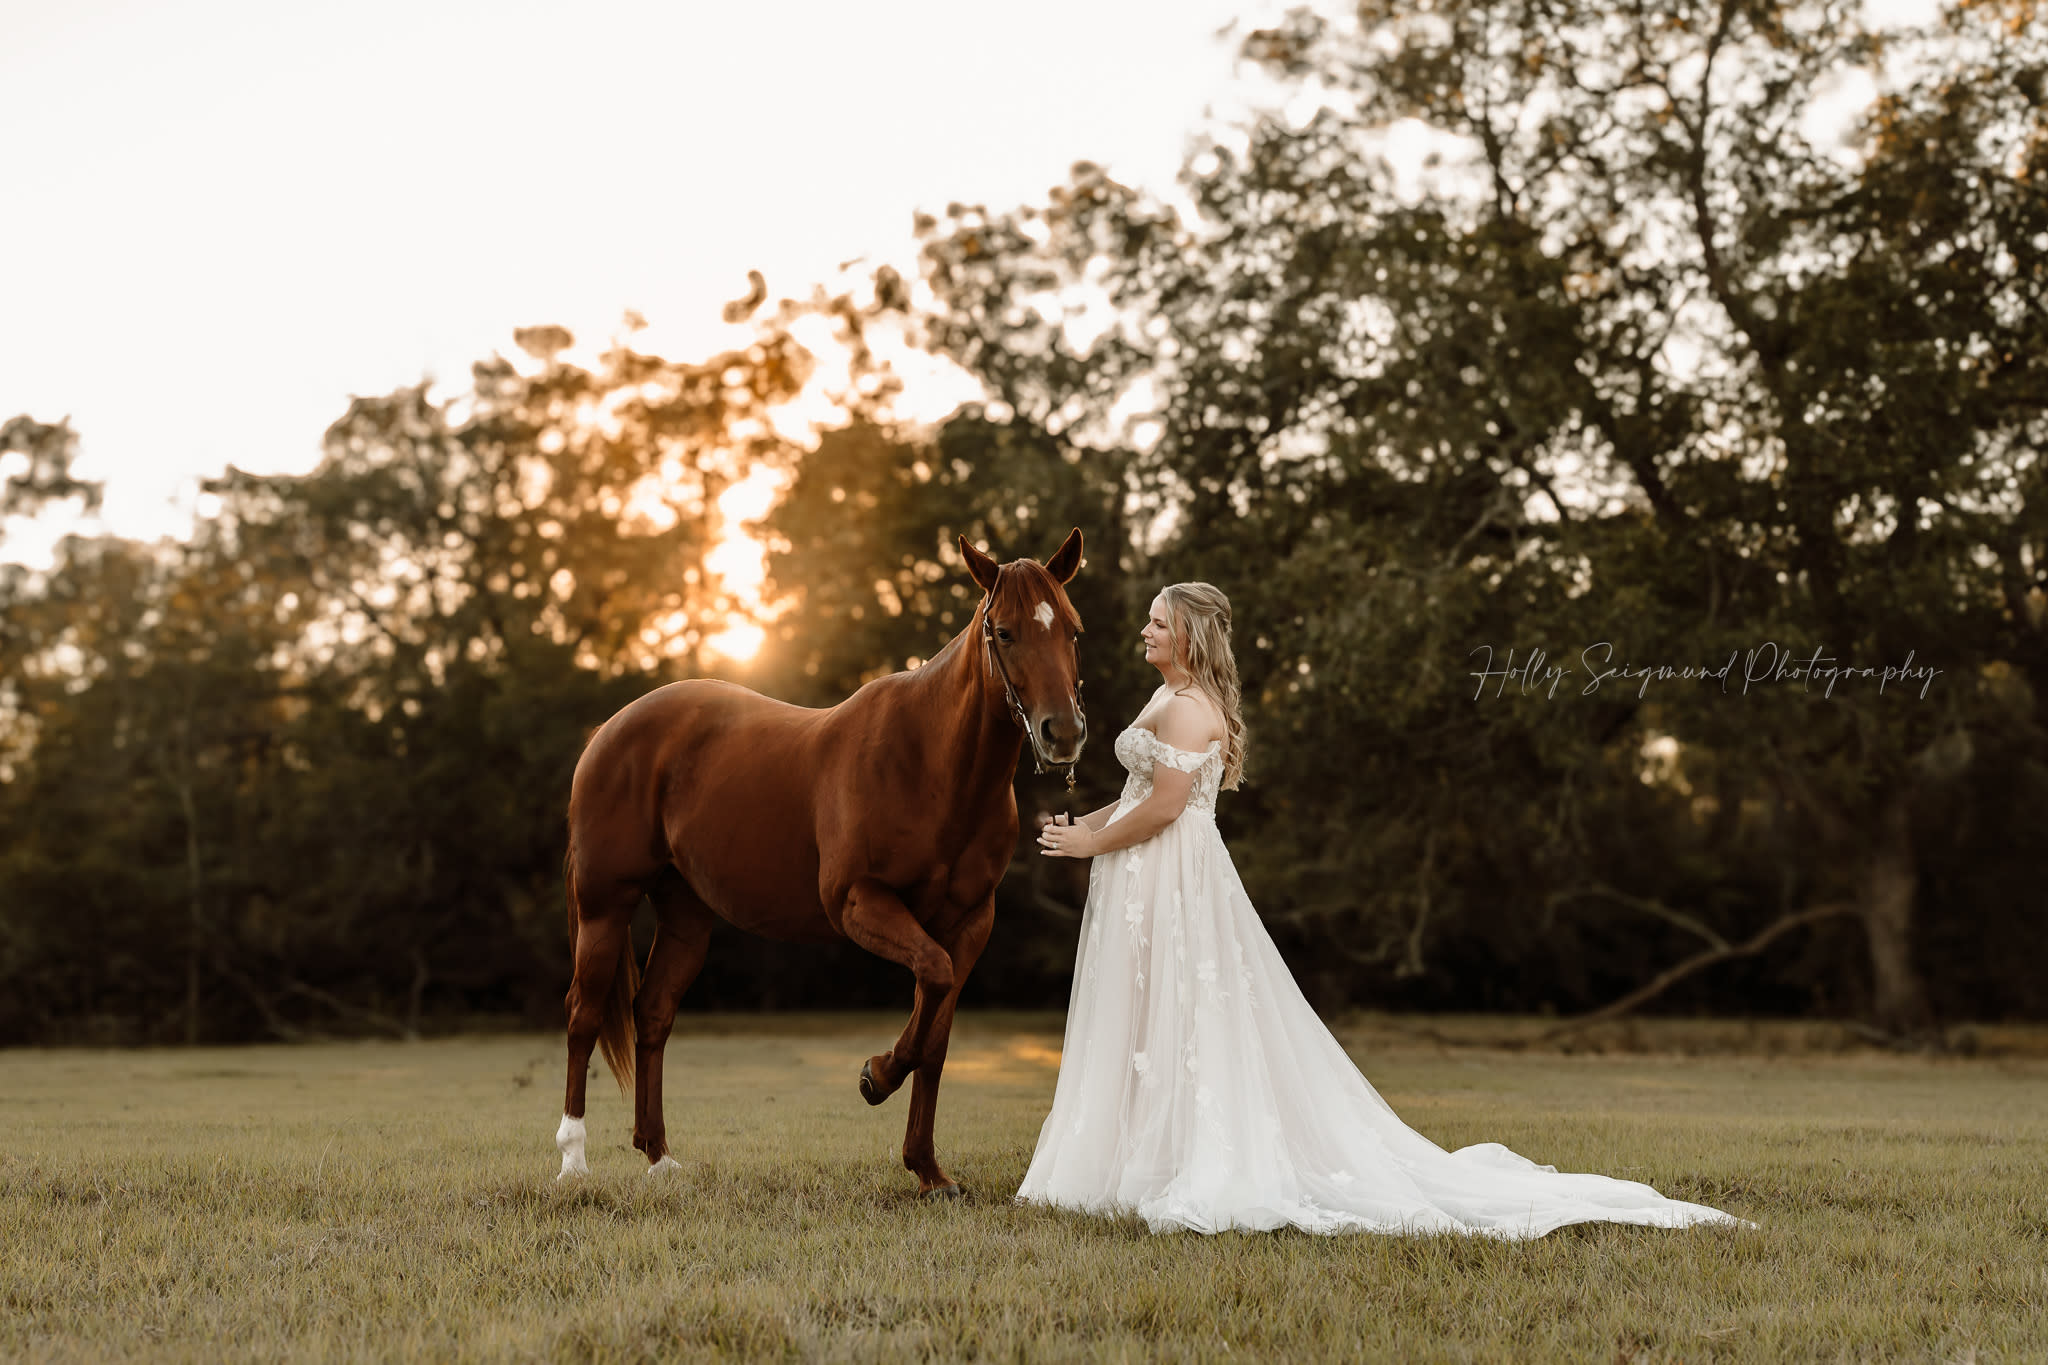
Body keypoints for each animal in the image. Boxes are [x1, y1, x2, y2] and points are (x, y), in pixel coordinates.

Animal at [554, 528, 1088, 1198]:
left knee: (652, 1015)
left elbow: (936, 1034)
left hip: (686, 917)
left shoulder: (968, 923)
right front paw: (875, 1077)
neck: (930, 764)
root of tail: (610, 731)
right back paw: (573, 1161)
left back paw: (659, 1157)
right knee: (583, 1015)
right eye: (1006, 632)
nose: (1063, 732)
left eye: (1072, 629)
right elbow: (933, 982)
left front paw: (927, 1169)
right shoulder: (858, 903)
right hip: (605, 907)